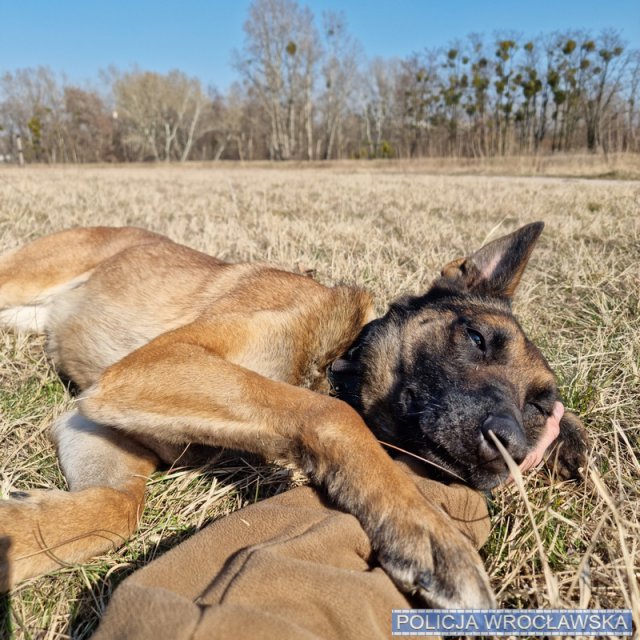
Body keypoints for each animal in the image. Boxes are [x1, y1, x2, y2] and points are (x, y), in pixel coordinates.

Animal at [0, 222, 584, 608]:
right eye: (477, 337)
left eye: (539, 409)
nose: (509, 446)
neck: (339, 357)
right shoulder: (153, 365)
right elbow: (333, 416)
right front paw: (427, 530)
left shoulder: (93, 417)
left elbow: (116, 509)